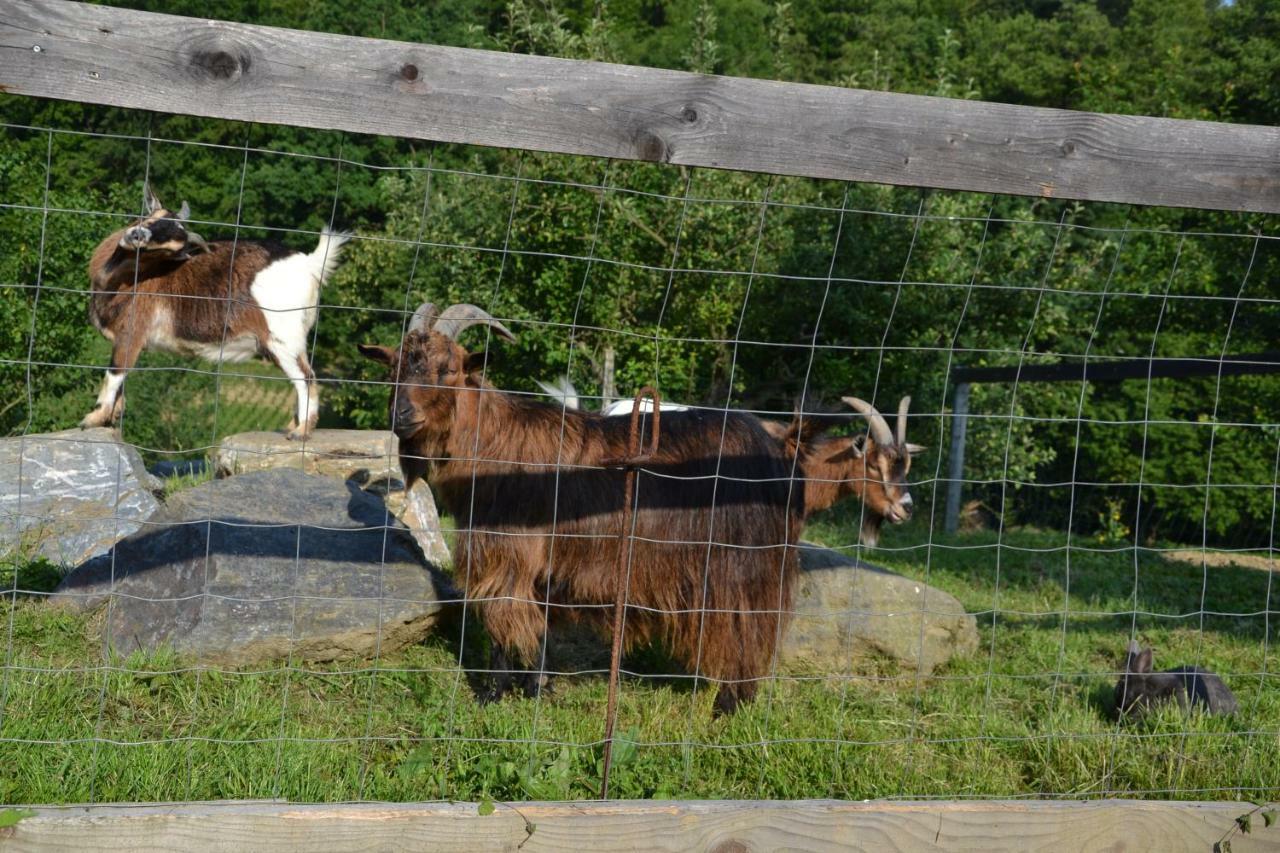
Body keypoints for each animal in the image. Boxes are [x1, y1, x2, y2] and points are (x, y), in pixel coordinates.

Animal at [83, 185, 348, 438]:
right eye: (154, 217)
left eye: (171, 248)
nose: (136, 236)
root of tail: (311, 264)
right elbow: (122, 383)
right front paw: (112, 418)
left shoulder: (131, 332)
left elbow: (115, 373)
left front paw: (93, 418)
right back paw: (292, 425)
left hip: (282, 336)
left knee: (306, 377)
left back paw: (301, 431)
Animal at [355, 302, 803, 712]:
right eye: (392, 370)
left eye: (448, 369)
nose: (401, 415)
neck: (495, 444)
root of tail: (771, 449)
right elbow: (537, 624)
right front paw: (537, 686)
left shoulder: (505, 553)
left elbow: (503, 621)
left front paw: (493, 693)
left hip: (737, 563)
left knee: (743, 628)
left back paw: (729, 704)